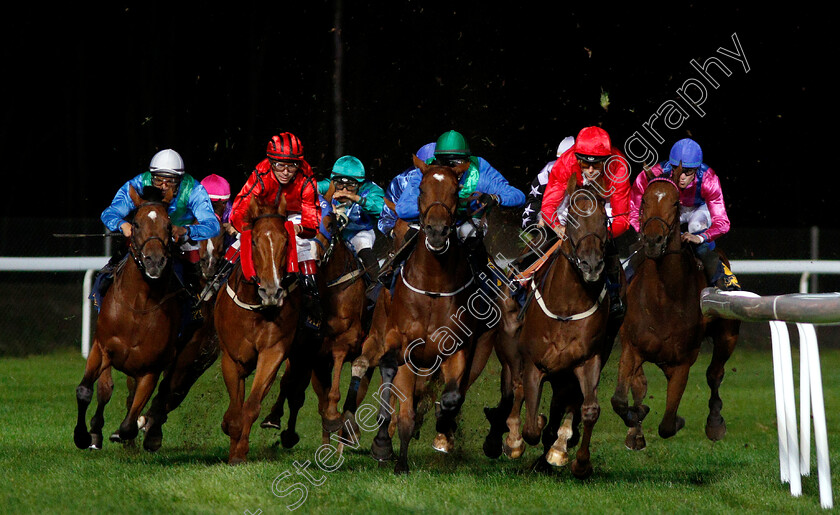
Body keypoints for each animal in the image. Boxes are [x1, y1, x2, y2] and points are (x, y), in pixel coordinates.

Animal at [73, 185, 182, 452]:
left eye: (168, 225)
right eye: (136, 223)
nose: (155, 261)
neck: (138, 308)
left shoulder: (151, 368)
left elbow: (129, 422)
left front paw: (131, 433)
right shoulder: (101, 348)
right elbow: (86, 391)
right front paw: (83, 435)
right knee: (105, 390)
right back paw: (95, 432)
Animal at [213, 196, 302, 466]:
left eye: (286, 241)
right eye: (253, 241)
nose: (272, 292)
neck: (256, 307)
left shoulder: (273, 351)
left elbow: (250, 406)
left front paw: (240, 451)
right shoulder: (232, 358)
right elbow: (235, 408)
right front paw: (230, 434)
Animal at [498, 177, 624, 480]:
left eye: (604, 221)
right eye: (574, 221)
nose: (592, 265)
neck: (566, 306)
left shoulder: (588, 359)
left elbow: (589, 409)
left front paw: (577, 460)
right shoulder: (535, 363)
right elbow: (531, 426)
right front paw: (518, 440)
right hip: (511, 344)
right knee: (517, 387)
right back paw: (515, 439)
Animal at [612, 176, 740, 452]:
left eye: (674, 202)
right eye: (644, 200)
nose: (653, 241)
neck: (662, 300)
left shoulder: (682, 362)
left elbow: (668, 424)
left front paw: (680, 420)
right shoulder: (631, 346)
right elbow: (620, 400)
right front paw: (636, 421)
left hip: (728, 337)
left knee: (715, 374)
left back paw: (715, 423)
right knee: (639, 384)